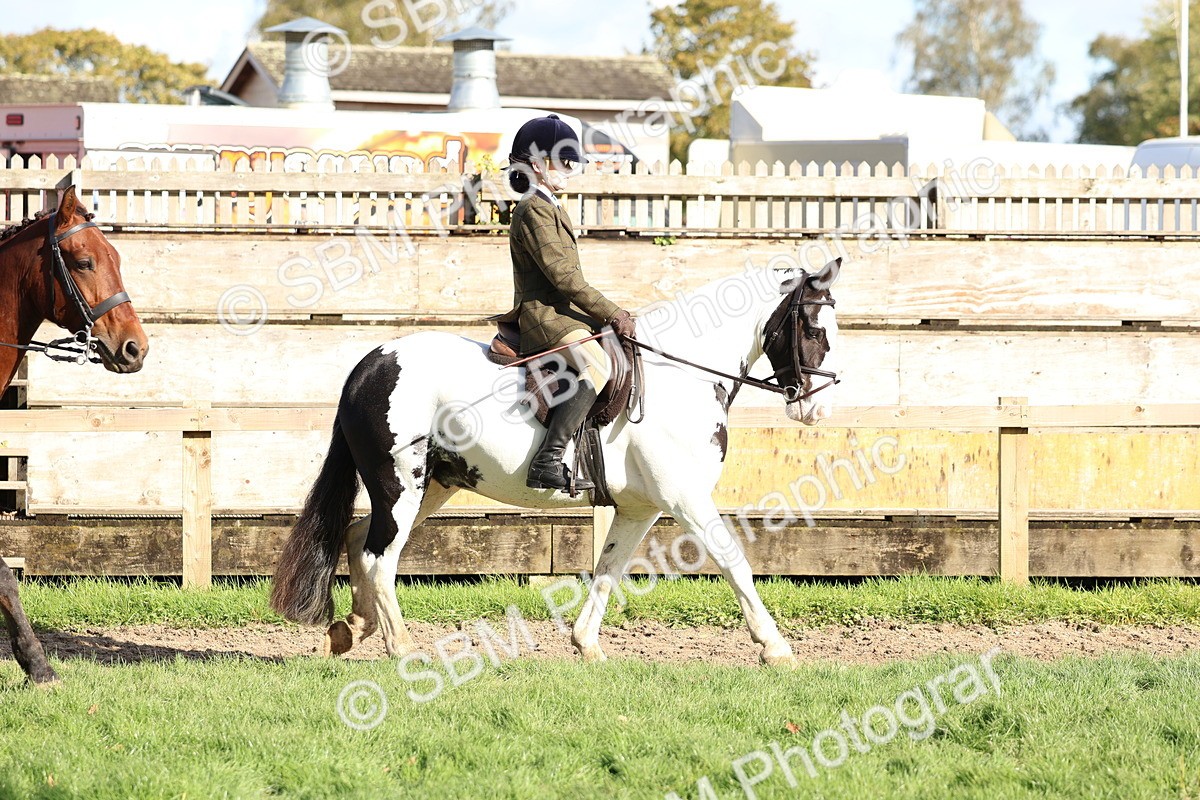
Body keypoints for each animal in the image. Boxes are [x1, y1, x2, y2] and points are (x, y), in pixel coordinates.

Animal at [271, 258, 840, 667]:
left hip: (433, 486)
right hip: (402, 484)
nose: (818, 406)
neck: (681, 377)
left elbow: (609, 568)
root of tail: (371, 363)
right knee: (378, 557)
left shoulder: (640, 508)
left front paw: (586, 644)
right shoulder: (686, 498)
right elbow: (733, 561)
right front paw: (776, 649)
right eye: (814, 328)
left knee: (356, 538)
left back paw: (352, 629)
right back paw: (402, 647)